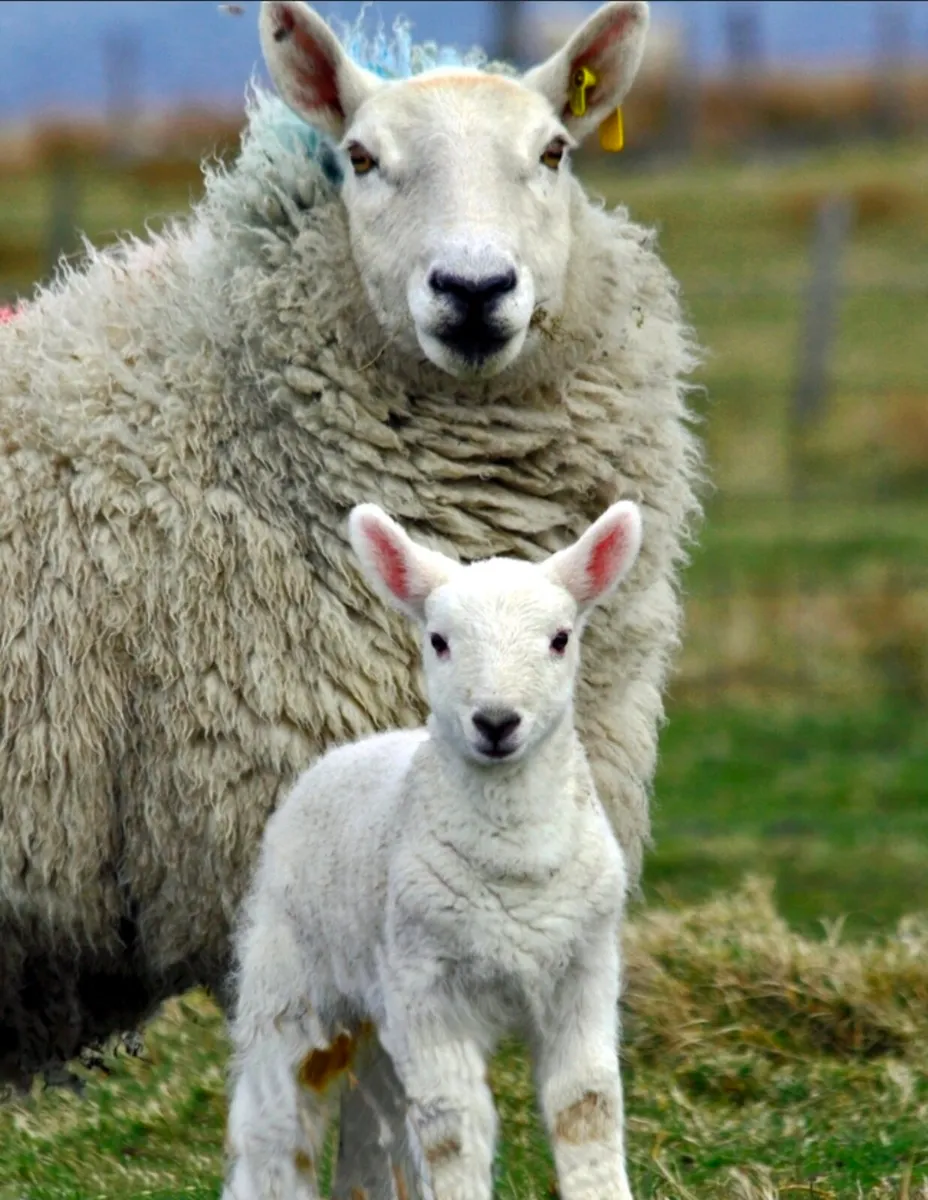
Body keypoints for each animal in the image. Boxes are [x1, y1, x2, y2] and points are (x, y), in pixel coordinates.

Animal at [224, 498, 643, 1200]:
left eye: (560, 639)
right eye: (439, 641)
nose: (496, 722)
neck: (516, 863)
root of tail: (351, 747)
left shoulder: (584, 969)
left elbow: (585, 1106)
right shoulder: (428, 985)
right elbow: (455, 1127)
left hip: (379, 1011)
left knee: (378, 1126)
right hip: (290, 976)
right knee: (275, 1123)